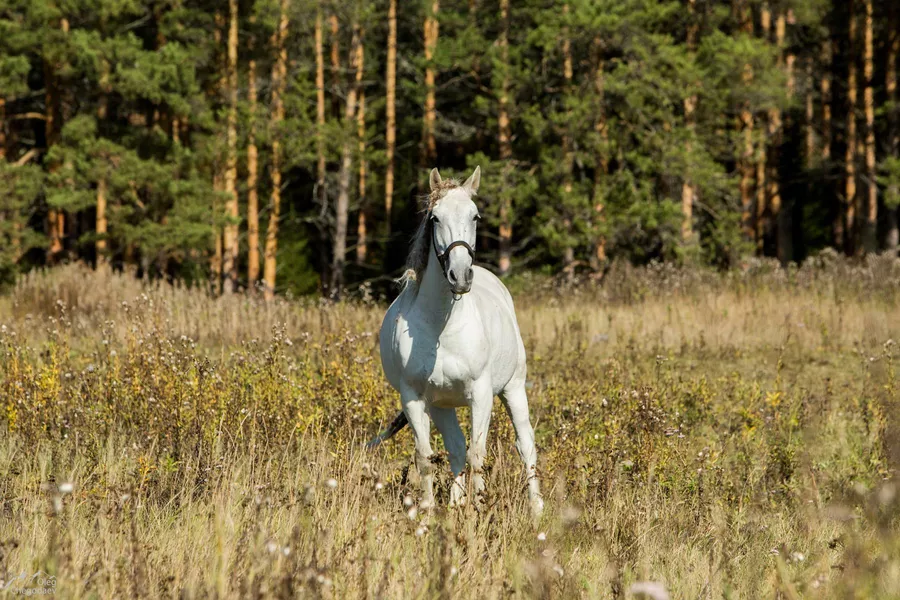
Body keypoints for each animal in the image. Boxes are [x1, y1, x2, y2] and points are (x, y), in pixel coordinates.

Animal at [370, 168, 544, 516]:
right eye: (435, 217)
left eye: (475, 215)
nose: (460, 276)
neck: (442, 328)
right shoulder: (414, 398)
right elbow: (426, 458)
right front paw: (426, 514)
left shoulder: (481, 394)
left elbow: (478, 455)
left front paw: (477, 511)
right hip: (441, 406)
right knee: (455, 446)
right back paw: (455, 502)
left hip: (514, 388)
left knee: (525, 445)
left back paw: (536, 509)